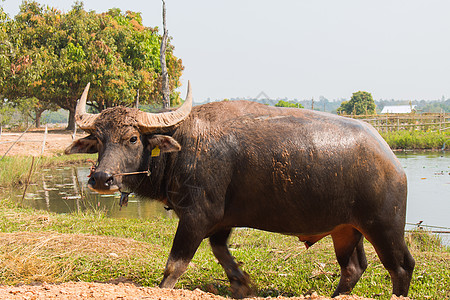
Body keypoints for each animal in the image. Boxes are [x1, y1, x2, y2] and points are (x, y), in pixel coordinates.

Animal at [65, 82, 414, 298]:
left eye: (133, 138)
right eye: (98, 140)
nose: (101, 178)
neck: (185, 145)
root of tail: (391, 159)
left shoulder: (196, 216)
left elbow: (175, 265)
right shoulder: (221, 221)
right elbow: (220, 251)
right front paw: (243, 284)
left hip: (384, 225)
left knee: (401, 266)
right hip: (346, 229)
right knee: (354, 267)